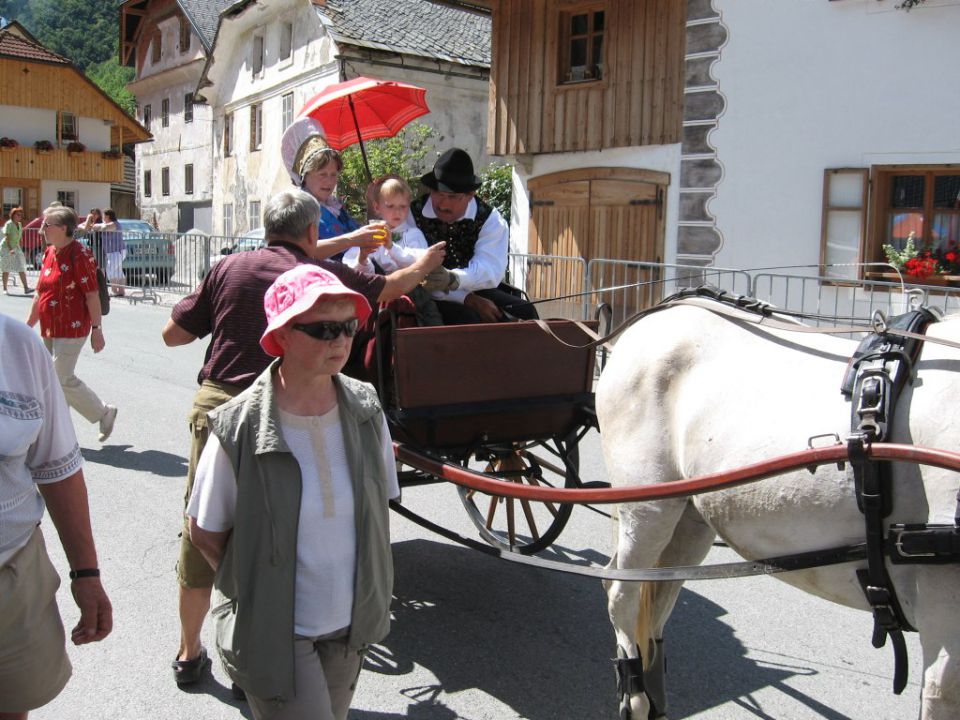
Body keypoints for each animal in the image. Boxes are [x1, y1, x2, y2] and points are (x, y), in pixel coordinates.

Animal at [600, 300, 960, 716]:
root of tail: (660, 312)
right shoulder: (944, 626)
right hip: (647, 507)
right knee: (621, 593)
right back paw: (634, 695)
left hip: (689, 518)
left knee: (657, 601)